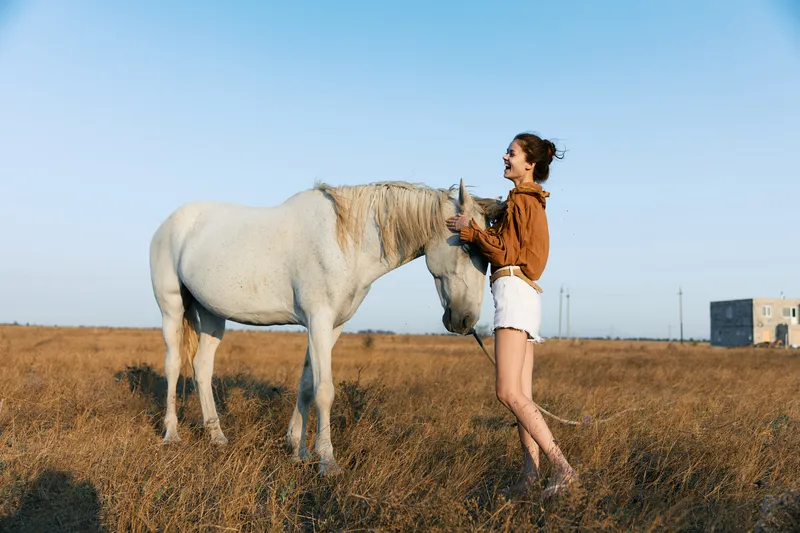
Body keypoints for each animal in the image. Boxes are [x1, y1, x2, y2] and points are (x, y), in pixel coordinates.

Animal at [148, 179, 492, 474]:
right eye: (465, 247)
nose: (465, 321)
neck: (347, 241)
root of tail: (169, 224)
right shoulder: (319, 320)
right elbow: (324, 390)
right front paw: (326, 460)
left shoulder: (333, 326)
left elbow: (306, 384)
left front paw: (298, 450)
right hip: (171, 308)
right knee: (173, 365)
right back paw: (172, 434)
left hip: (211, 314)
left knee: (202, 367)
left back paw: (217, 436)